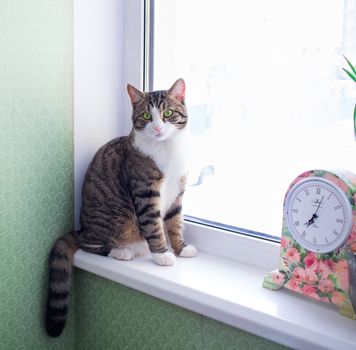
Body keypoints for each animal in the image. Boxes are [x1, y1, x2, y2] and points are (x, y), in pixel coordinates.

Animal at [45, 78, 197, 336]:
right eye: (146, 115)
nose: (157, 128)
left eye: (167, 113)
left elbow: (174, 222)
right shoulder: (145, 190)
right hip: (114, 219)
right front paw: (162, 254)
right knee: (89, 243)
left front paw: (180, 247)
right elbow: (154, 225)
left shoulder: (178, 190)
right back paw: (121, 251)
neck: (166, 150)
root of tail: (81, 228)